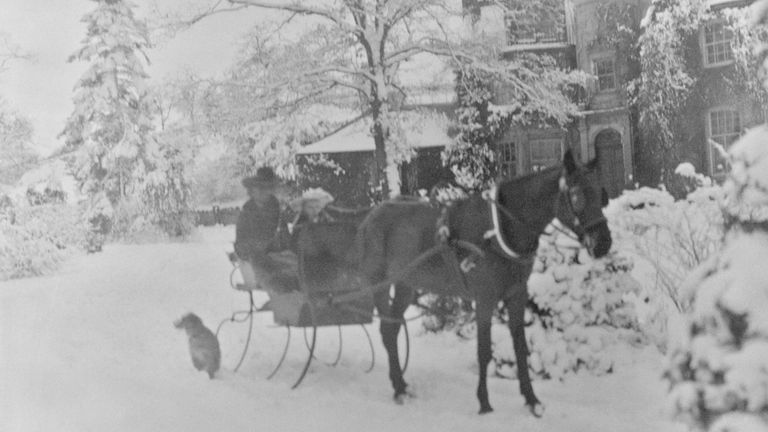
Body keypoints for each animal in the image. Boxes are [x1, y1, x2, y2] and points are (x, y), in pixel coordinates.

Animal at [356, 149, 616, 416]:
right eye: (576, 195)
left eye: (601, 193)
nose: (603, 243)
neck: (499, 230)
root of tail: (371, 216)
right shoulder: (484, 299)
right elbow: (484, 352)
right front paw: (484, 402)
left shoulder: (517, 295)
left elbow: (520, 348)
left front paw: (532, 400)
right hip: (381, 283)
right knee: (387, 331)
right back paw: (398, 388)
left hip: (406, 284)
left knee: (392, 329)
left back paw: (401, 384)